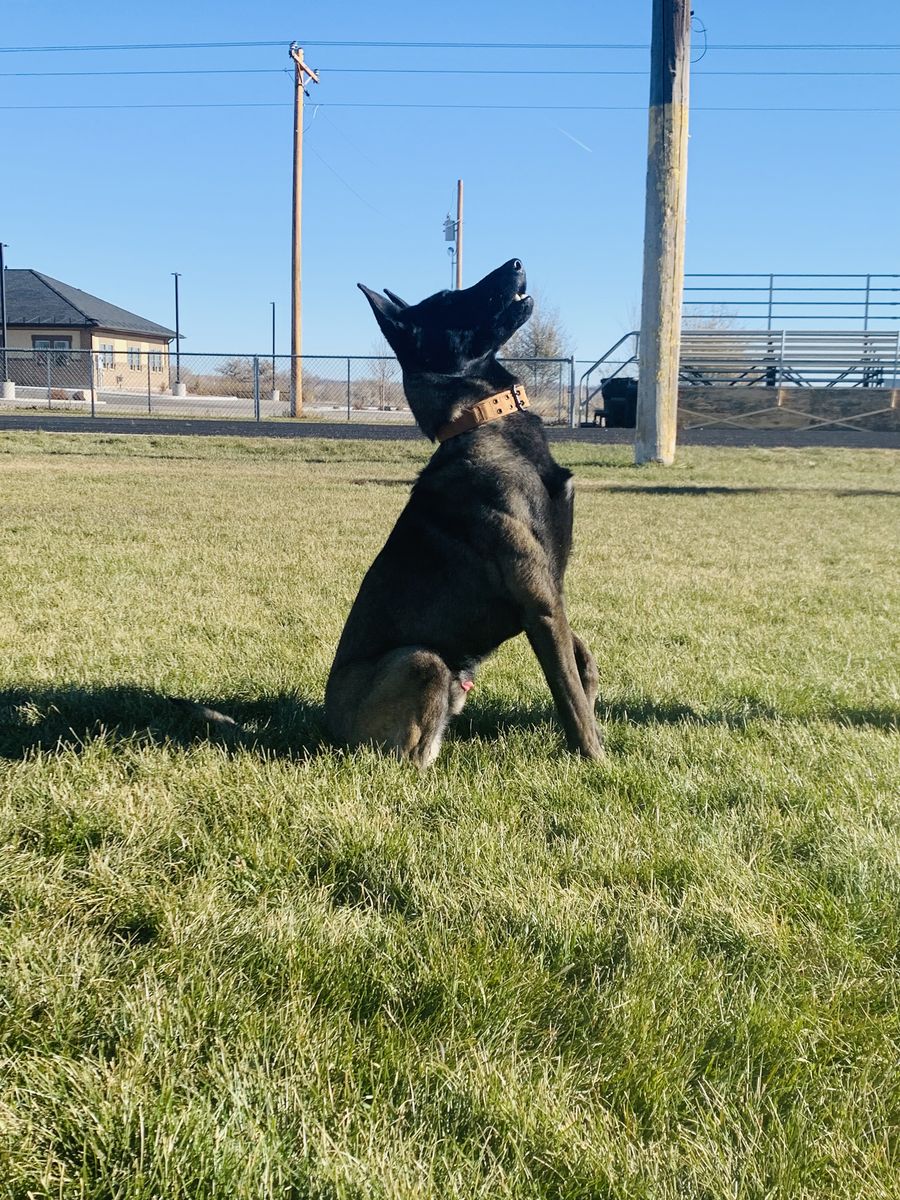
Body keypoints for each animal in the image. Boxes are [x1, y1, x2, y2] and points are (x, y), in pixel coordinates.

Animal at [324, 259, 603, 768]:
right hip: (422, 660)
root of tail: (326, 726)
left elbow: (584, 664)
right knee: (407, 761)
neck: (483, 419)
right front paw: (598, 762)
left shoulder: (550, 588)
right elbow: (570, 696)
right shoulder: (539, 601)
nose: (516, 263)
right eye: (451, 300)